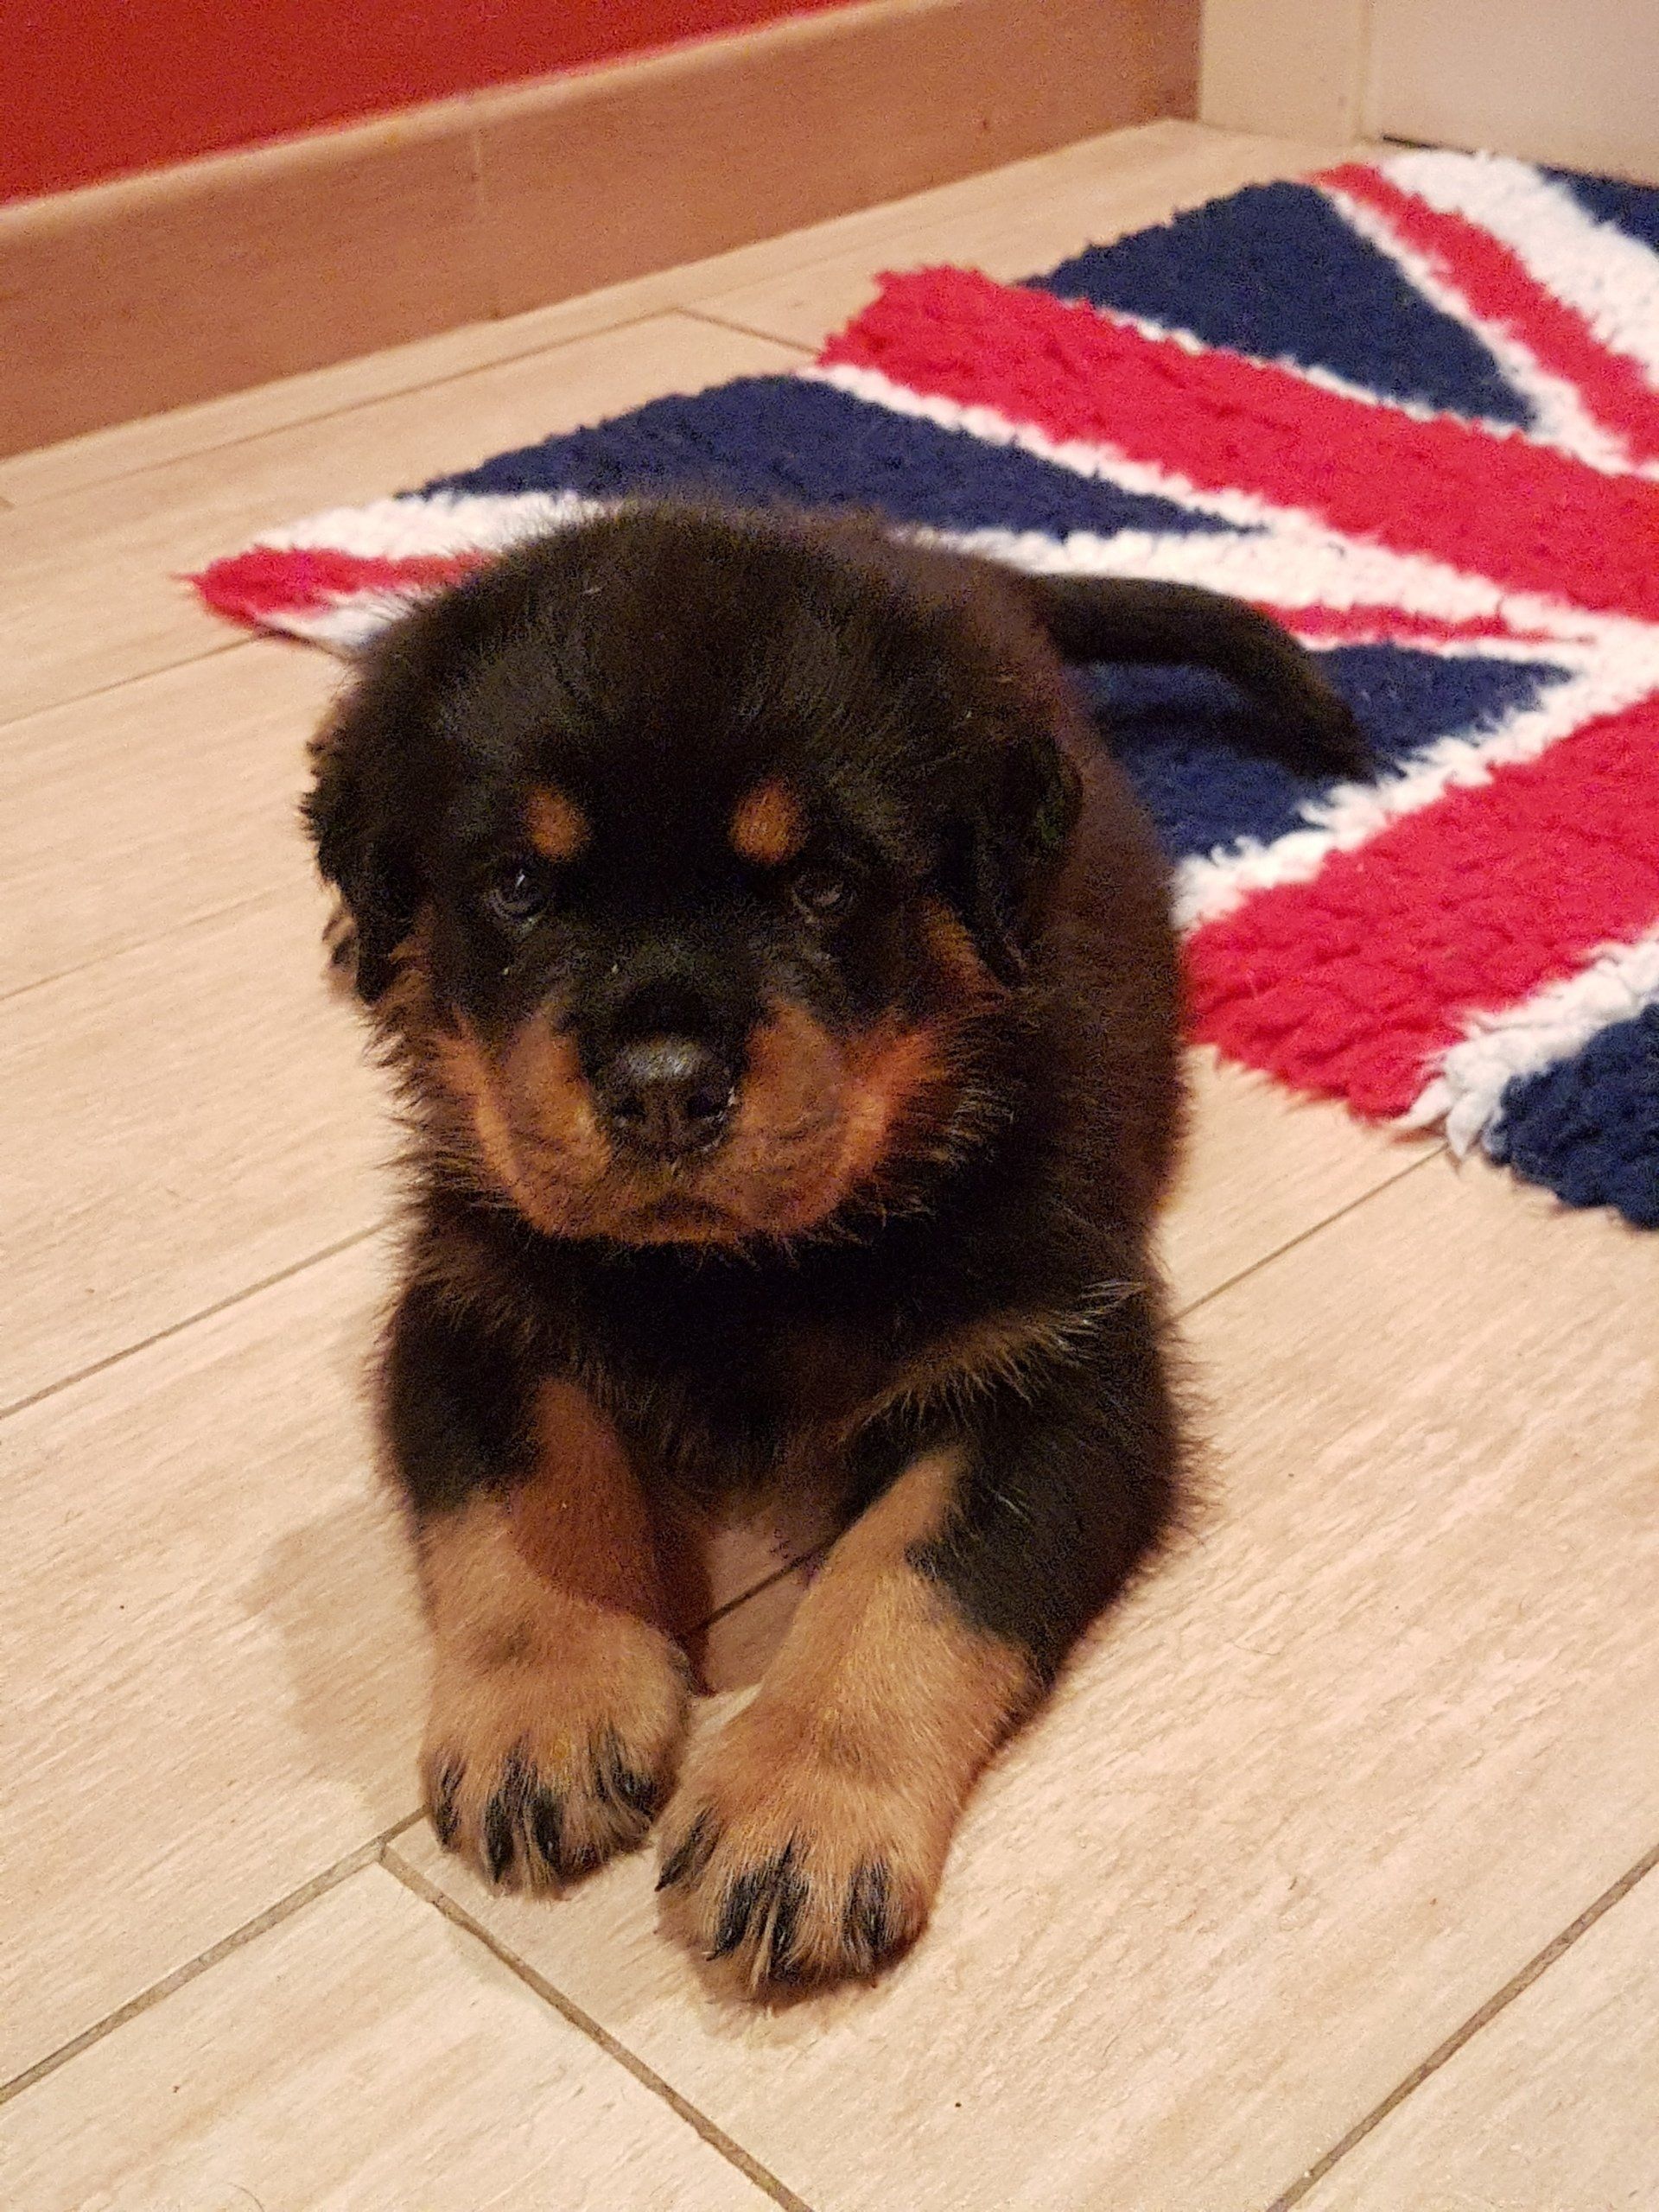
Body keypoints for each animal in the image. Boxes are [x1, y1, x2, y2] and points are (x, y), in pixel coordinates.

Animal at [304, 501, 1366, 1990]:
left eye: (820, 885)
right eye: (516, 885)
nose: (665, 1087)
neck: (747, 1268)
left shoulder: (1060, 1368)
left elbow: (910, 1574)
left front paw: (802, 1814)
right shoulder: (471, 1292)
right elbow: (526, 1491)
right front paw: (549, 1711)